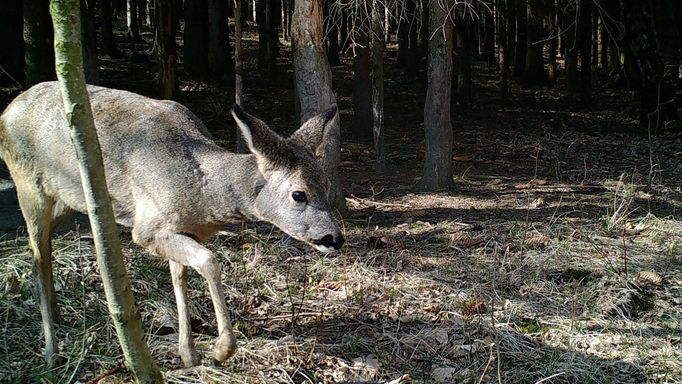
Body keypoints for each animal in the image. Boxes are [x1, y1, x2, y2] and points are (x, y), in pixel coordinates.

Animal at [0, 82, 340, 368]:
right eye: (299, 194)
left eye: (327, 185)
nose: (334, 238)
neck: (202, 193)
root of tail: (7, 110)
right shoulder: (147, 227)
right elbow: (209, 262)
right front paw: (221, 349)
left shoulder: (183, 229)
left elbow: (180, 276)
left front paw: (187, 353)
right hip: (28, 188)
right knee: (35, 256)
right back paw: (51, 351)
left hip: (68, 201)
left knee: (46, 248)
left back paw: (58, 316)